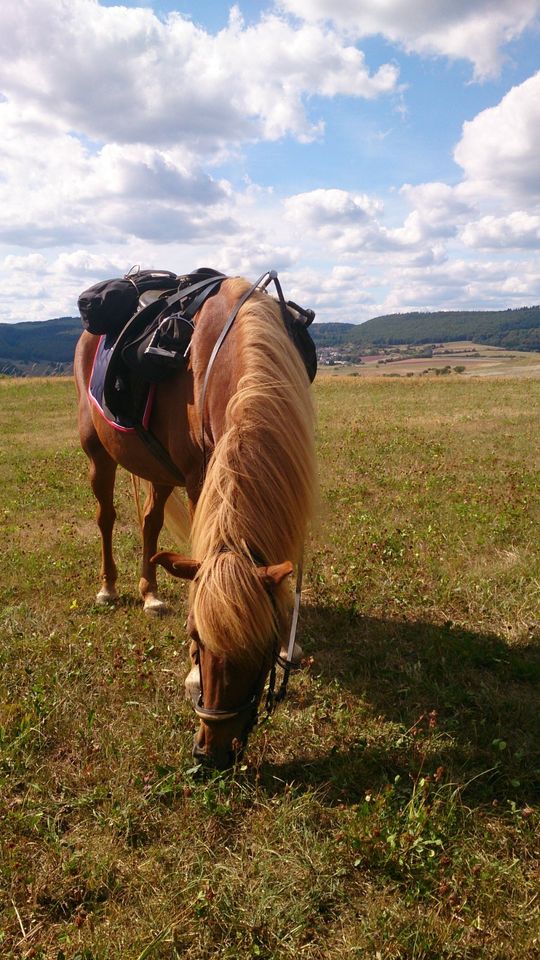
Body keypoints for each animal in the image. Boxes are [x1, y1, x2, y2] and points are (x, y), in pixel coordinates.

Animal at [74, 274, 314, 768]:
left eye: (262, 649)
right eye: (193, 638)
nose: (211, 753)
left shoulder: (290, 469)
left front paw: (290, 640)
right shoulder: (198, 476)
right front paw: (188, 677)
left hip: (158, 468)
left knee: (149, 522)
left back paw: (149, 592)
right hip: (99, 454)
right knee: (106, 517)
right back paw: (109, 588)